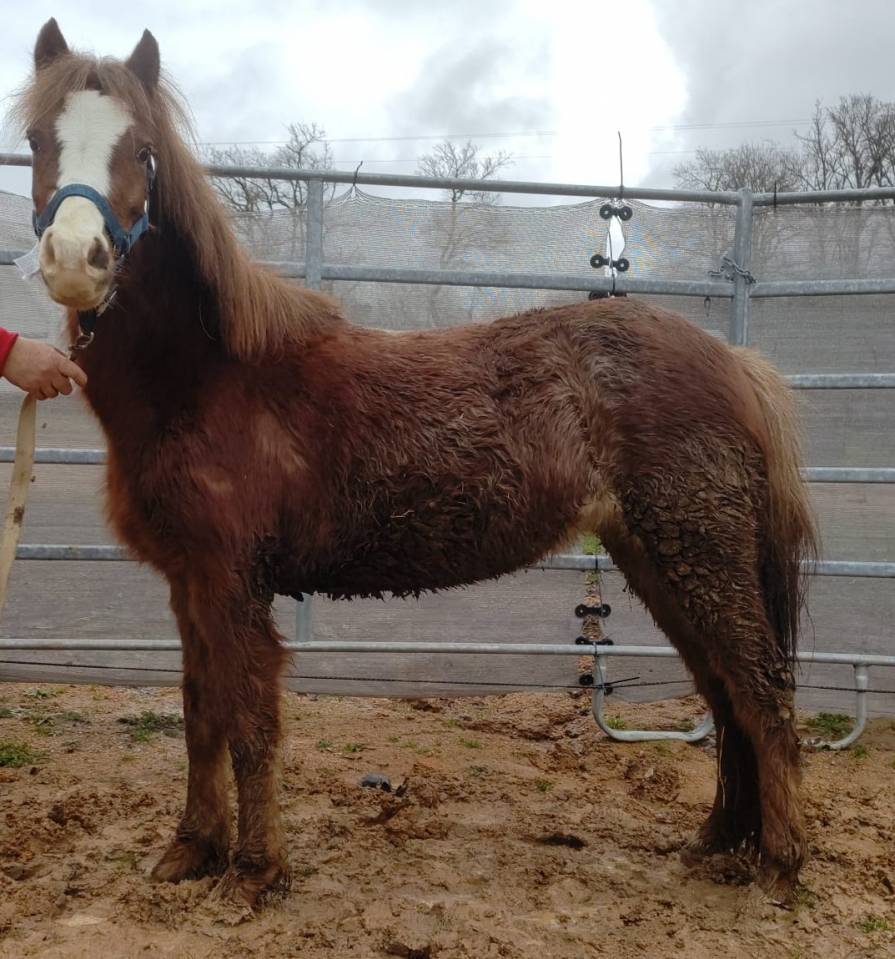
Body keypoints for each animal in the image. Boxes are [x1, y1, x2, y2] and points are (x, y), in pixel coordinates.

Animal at [14, 19, 817, 907]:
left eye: (144, 150)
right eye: (35, 140)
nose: (75, 259)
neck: (212, 375)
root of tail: (732, 360)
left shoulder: (231, 579)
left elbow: (250, 722)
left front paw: (256, 872)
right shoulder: (189, 580)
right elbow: (200, 714)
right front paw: (192, 848)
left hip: (699, 550)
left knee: (761, 689)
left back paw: (780, 863)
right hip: (655, 554)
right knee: (723, 690)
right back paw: (718, 841)